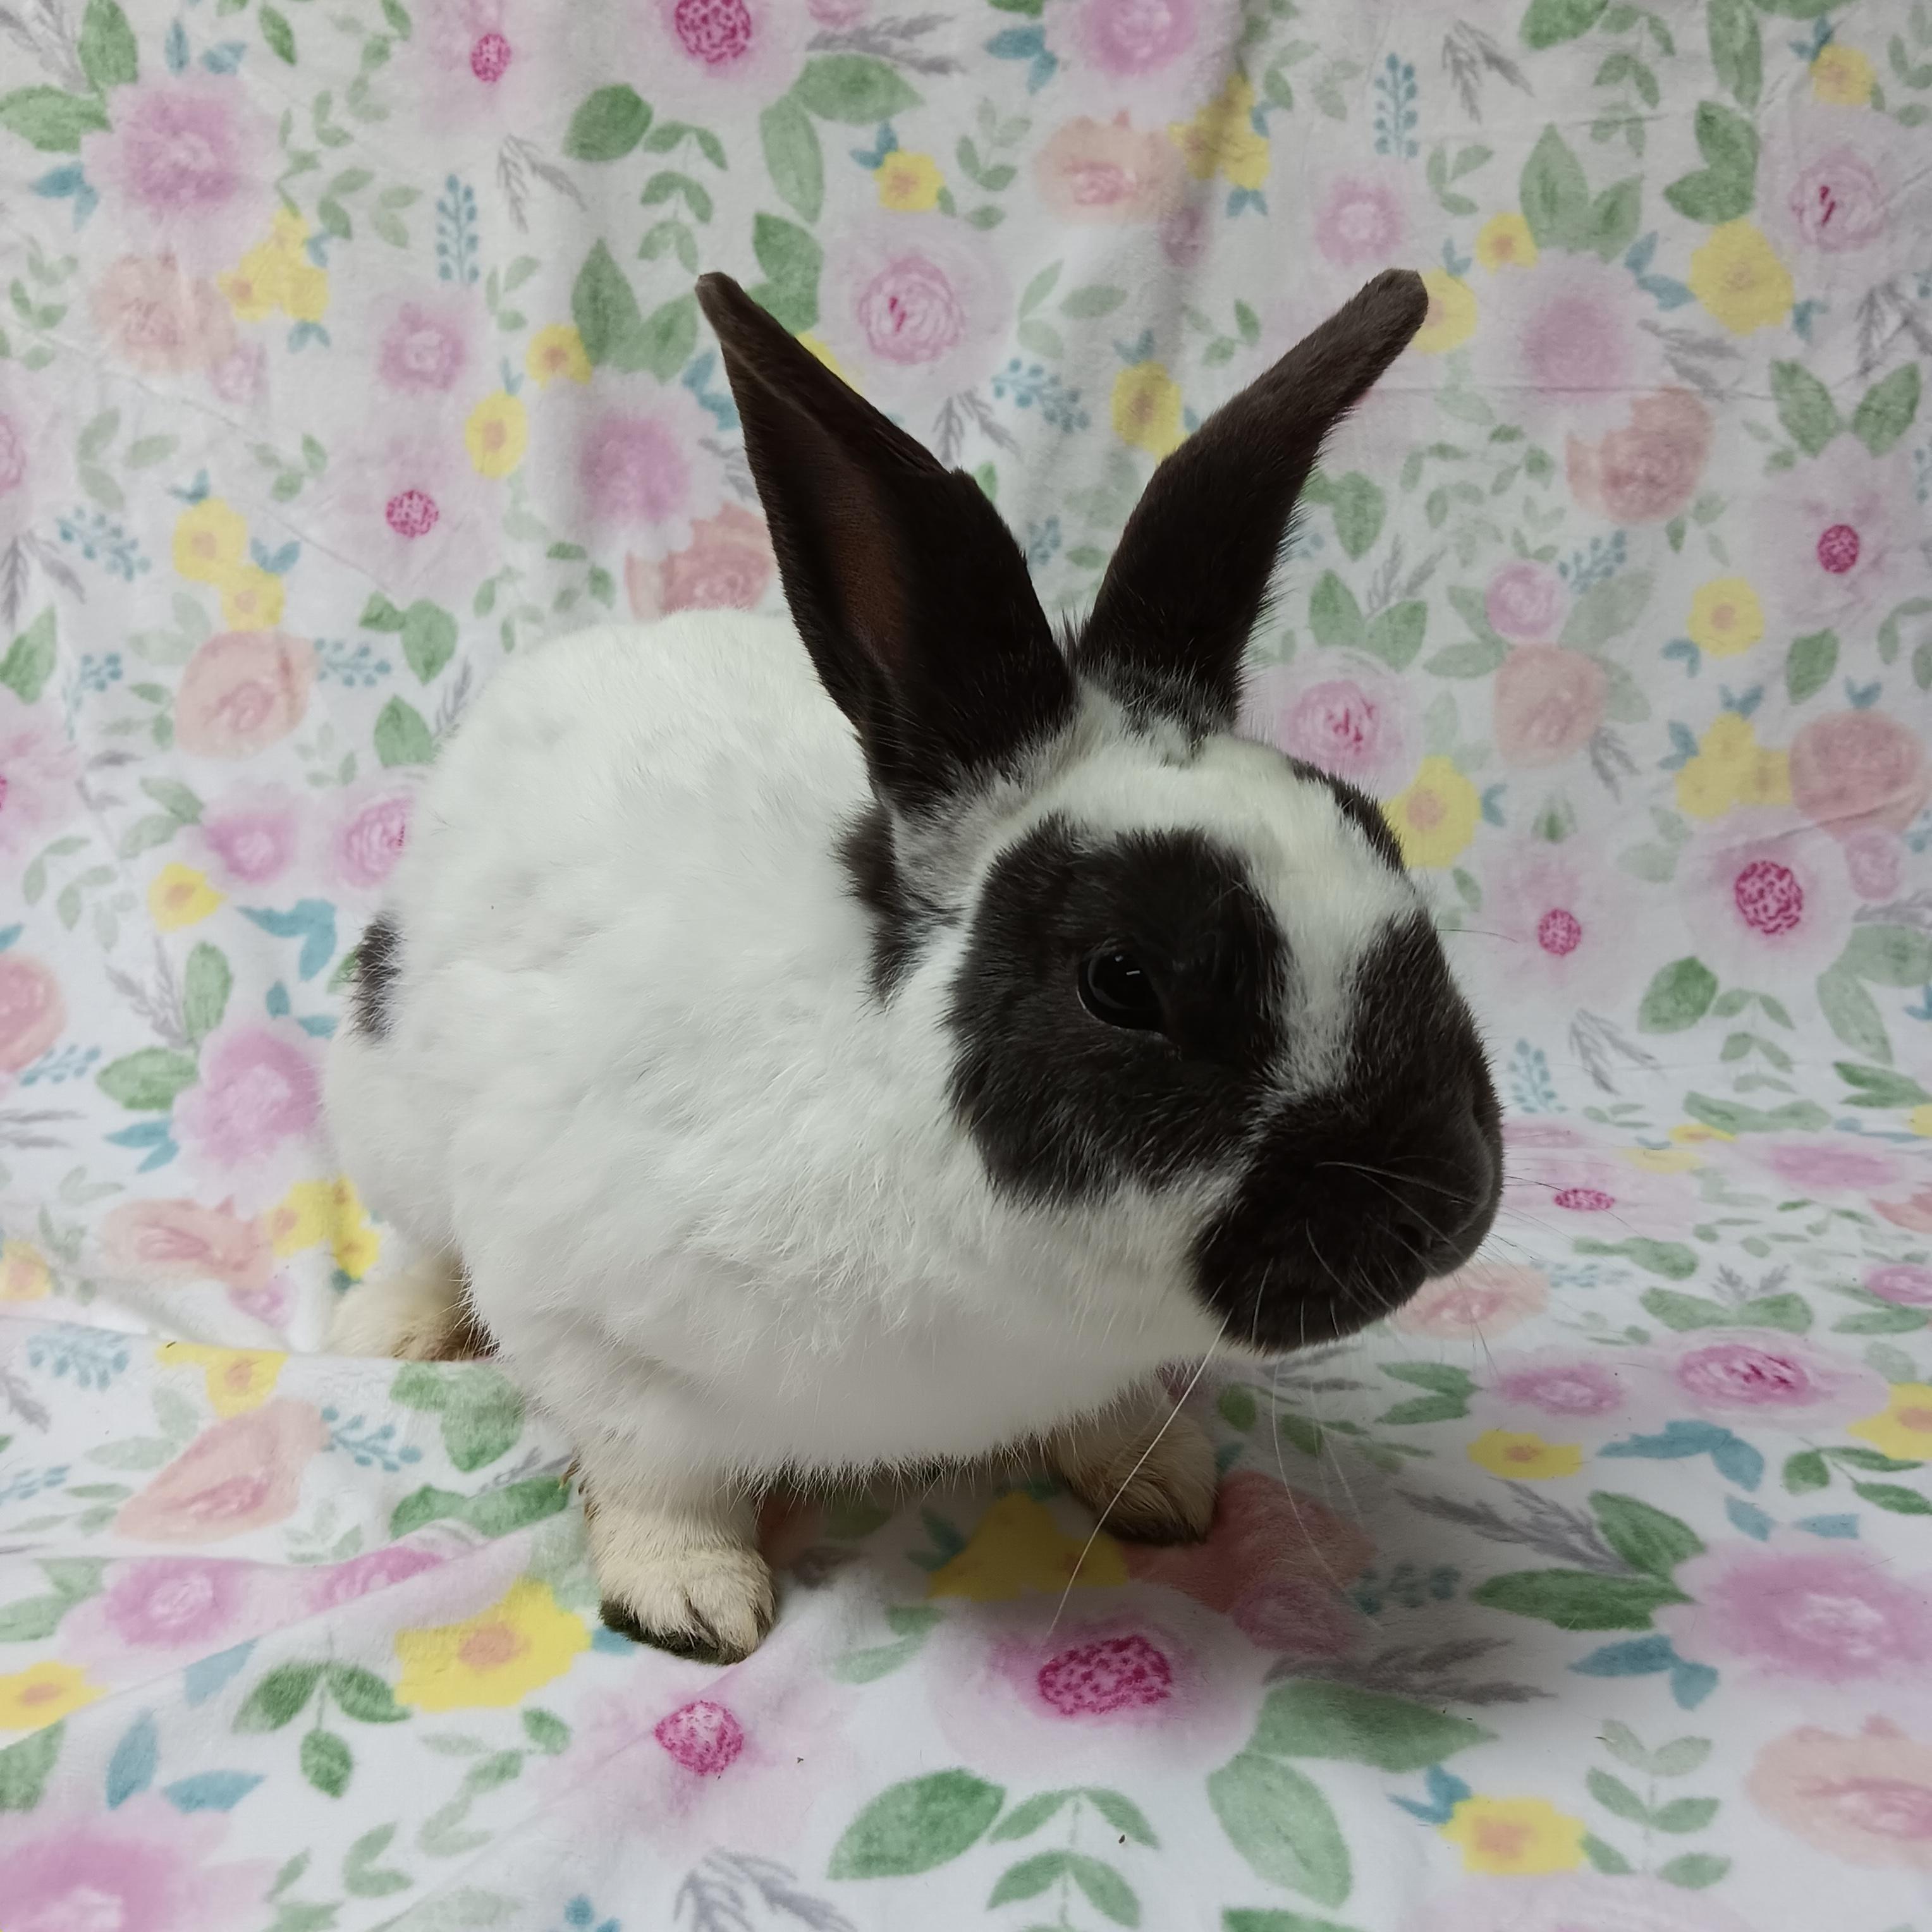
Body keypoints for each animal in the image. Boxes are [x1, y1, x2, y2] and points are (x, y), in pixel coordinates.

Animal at [325, 267, 1503, 1663]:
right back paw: (388, 1329)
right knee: (419, 1235)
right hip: (387, 1100)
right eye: (1124, 980)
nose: (1450, 1199)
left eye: (1377, 833)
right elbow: (657, 1474)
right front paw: (691, 1601)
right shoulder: (589, 1323)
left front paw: (1158, 1485)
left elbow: (1113, 1416)